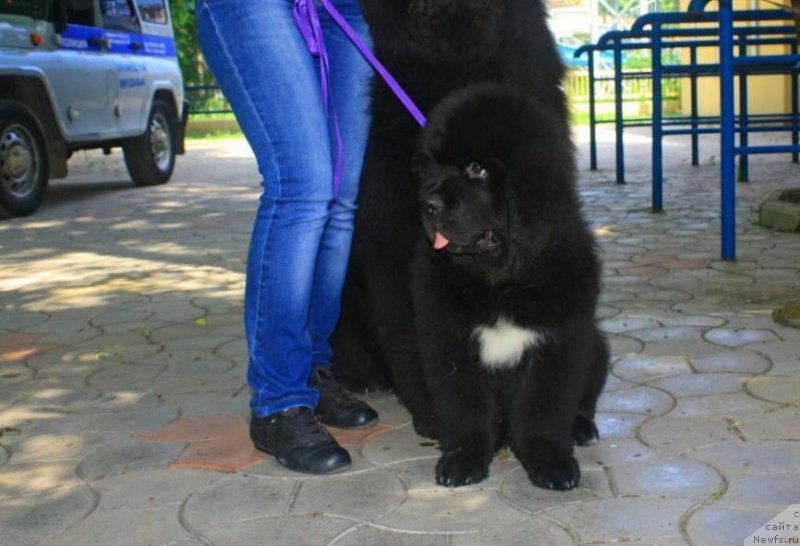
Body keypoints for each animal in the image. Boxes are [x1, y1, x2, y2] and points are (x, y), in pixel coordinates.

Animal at [410, 84, 608, 488]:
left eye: (476, 169)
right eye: (433, 167)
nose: (427, 204)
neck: (501, 280)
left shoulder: (558, 343)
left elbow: (543, 410)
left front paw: (550, 461)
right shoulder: (449, 343)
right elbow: (465, 407)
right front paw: (464, 457)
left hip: (596, 345)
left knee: (584, 399)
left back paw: (582, 427)